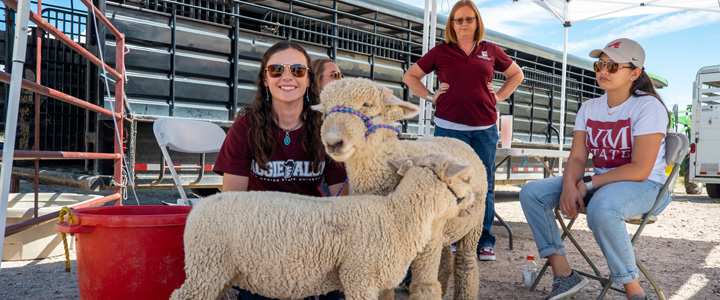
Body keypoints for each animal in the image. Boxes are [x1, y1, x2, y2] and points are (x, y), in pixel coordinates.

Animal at [167, 154, 472, 300]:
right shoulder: (359, 277)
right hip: (207, 266)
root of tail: (198, 207)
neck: (398, 217)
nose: (473, 203)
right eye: (466, 178)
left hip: (219, 273)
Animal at [314, 78, 490, 300]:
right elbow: (385, 290)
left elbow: (424, 288)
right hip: (444, 230)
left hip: (474, 222)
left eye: (367, 105)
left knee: (465, 265)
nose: (333, 142)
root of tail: (457, 139)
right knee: (445, 263)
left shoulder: (427, 242)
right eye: (325, 111)